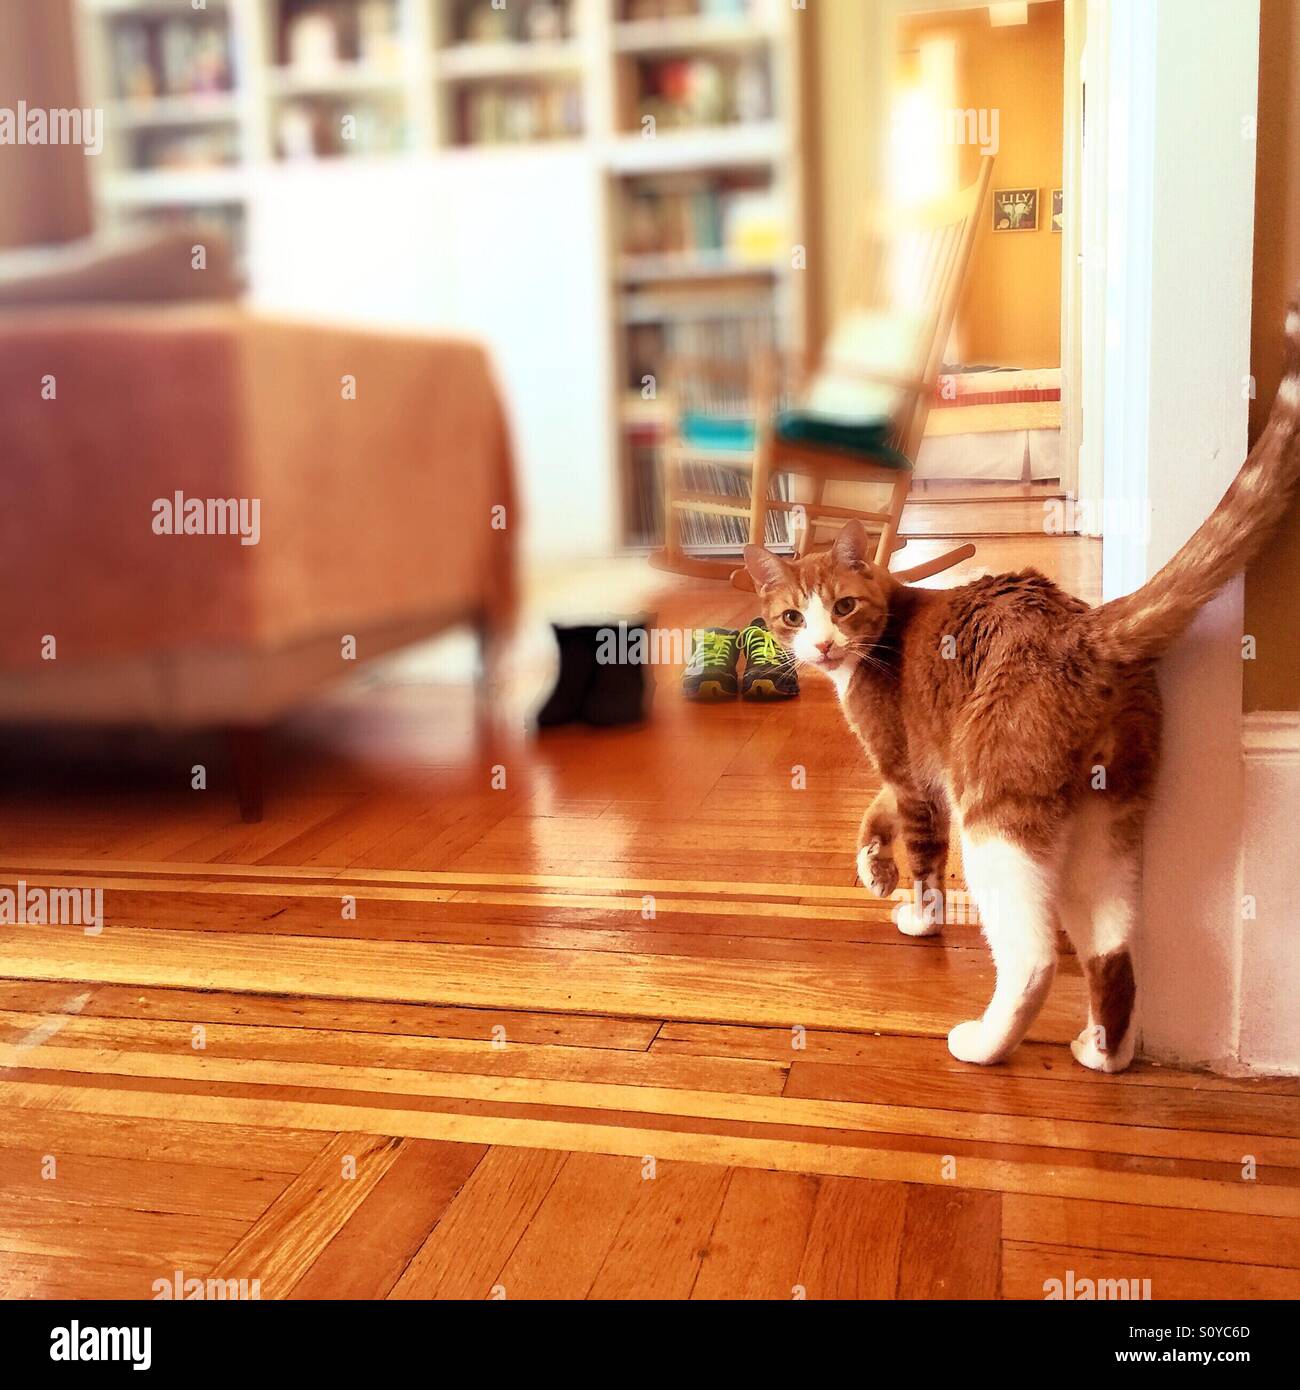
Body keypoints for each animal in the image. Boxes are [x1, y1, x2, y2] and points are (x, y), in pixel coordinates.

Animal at [739, 296, 1300, 1073]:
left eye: (842, 607)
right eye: (793, 616)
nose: (821, 643)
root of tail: (1085, 626)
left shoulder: (916, 773)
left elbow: (922, 856)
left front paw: (916, 915)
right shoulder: (918, 767)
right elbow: (876, 813)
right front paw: (872, 866)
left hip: (996, 809)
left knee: (1032, 954)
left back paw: (982, 1042)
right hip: (1108, 816)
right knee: (1112, 947)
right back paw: (1104, 1051)